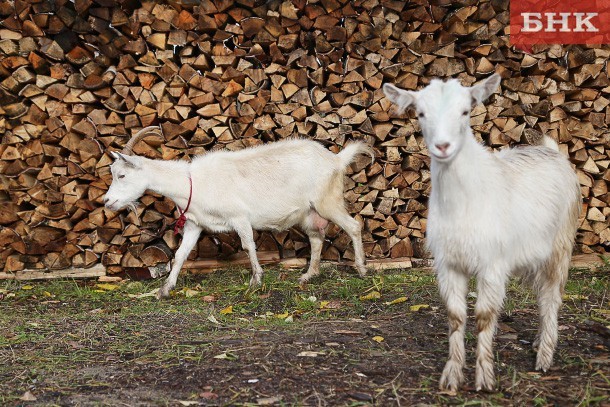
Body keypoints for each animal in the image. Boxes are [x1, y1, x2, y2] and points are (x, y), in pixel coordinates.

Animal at [103, 131, 370, 300]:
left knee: (353, 226)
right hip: (309, 212)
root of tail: (336, 159)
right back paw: (308, 275)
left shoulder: (239, 217)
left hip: (327, 201)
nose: (107, 202)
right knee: (316, 238)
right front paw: (164, 289)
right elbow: (179, 255)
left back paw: (361, 269)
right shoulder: (194, 224)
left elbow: (248, 245)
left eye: (122, 175)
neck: (191, 182)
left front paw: (256, 281)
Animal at [384, 75, 580, 394]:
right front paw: (452, 377)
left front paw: (485, 379)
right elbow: (455, 316)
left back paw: (544, 357)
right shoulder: (448, 264)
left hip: (560, 246)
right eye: (421, 113)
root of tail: (553, 151)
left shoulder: (492, 264)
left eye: (465, 111)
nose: (442, 146)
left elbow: (485, 317)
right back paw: (539, 342)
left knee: (551, 298)